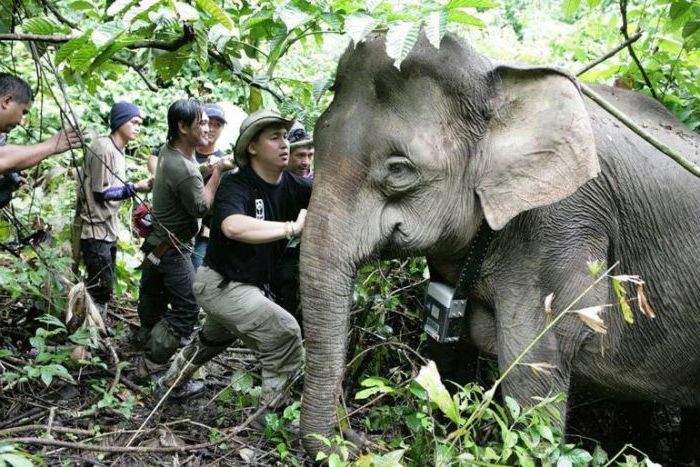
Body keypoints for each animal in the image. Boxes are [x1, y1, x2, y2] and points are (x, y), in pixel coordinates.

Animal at [296, 31, 700, 456]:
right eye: (316, 138)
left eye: (399, 169)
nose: (355, 439)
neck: (498, 78)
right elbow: (448, 352)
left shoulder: (562, 226)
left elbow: (532, 366)